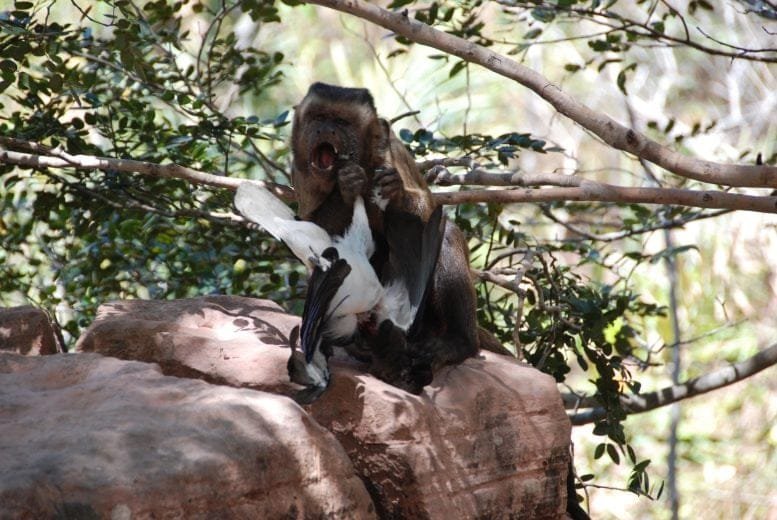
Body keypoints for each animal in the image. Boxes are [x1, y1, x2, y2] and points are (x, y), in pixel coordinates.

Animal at [290, 82, 480, 391]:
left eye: (341, 122)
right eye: (318, 117)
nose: (324, 130)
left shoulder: (391, 150)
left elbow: (428, 214)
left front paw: (396, 191)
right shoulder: (301, 169)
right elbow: (309, 234)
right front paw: (347, 185)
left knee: (445, 235)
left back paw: (458, 342)